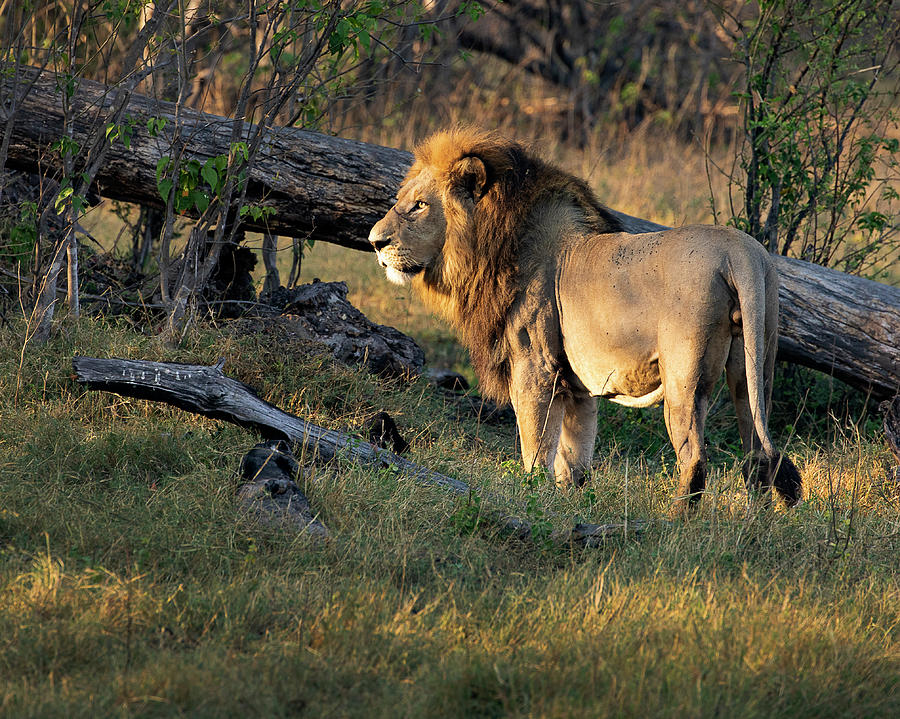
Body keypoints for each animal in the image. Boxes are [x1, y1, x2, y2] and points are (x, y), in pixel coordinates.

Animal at [370, 129, 804, 512]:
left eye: (420, 205)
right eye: (401, 200)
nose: (375, 242)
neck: (491, 245)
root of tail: (742, 251)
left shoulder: (535, 368)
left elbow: (535, 449)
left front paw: (531, 497)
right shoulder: (576, 386)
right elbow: (574, 457)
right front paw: (570, 503)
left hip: (685, 377)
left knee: (696, 458)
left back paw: (678, 521)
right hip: (754, 366)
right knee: (757, 454)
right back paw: (753, 523)